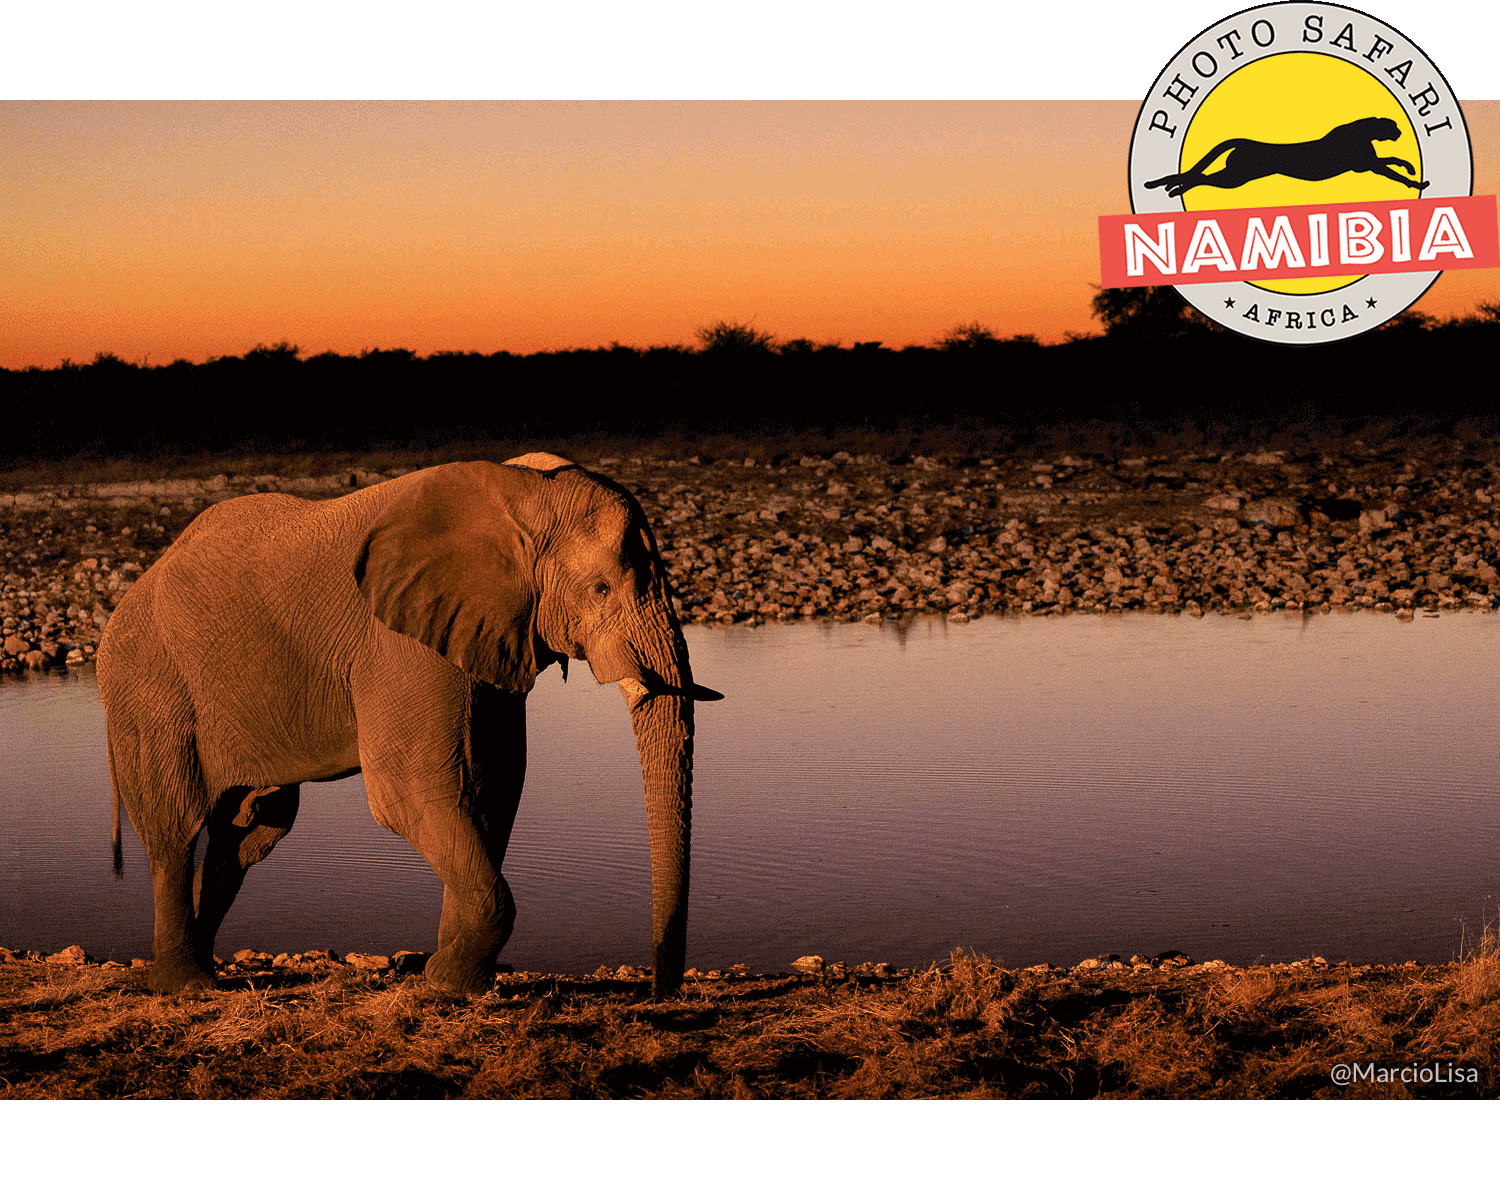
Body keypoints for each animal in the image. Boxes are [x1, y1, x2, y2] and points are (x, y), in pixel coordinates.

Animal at [96, 453, 721, 999]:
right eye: (600, 590)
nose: (659, 993)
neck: (518, 492)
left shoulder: (485, 637)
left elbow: (490, 790)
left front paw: (451, 979)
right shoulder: (401, 645)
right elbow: (415, 794)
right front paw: (447, 982)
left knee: (249, 833)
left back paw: (203, 967)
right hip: (148, 687)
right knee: (176, 828)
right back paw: (184, 985)